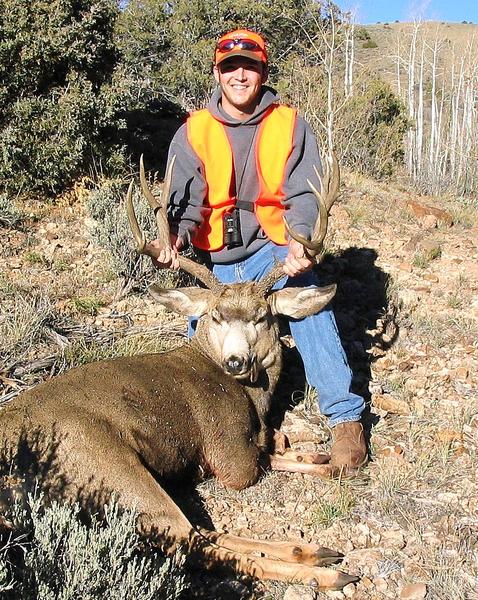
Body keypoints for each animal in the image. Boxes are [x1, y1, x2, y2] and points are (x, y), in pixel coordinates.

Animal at [0, 152, 358, 588]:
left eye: (261, 317)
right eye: (216, 316)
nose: (236, 362)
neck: (254, 400)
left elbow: (278, 446)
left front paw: (320, 456)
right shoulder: (228, 451)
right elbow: (262, 459)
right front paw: (313, 458)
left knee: (199, 532)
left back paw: (312, 550)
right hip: (107, 465)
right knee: (191, 541)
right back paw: (323, 570)